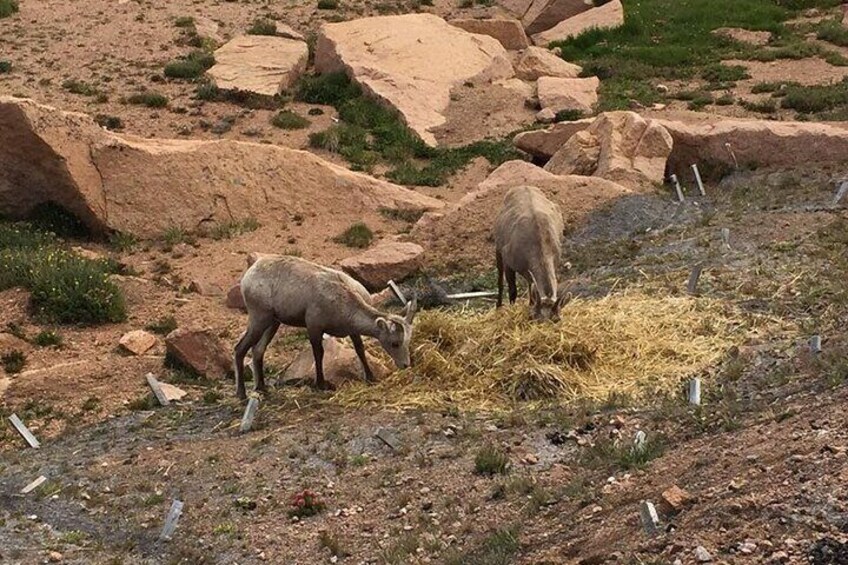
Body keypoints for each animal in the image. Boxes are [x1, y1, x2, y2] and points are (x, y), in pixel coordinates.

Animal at [232, 253, 418, 398]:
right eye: (395, 343)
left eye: (408, 341)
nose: (405, 365)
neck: (342, 299)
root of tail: (250, 273)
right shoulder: (314, 327)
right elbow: (319, 353)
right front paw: (322, 385)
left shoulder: (352, 331)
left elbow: (360, 348)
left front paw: (371, 377)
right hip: (259, 318)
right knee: (240, 348)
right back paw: (241, 394)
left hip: (272, 322)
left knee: (258, 350)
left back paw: (262, 388)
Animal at [494, 185, 568, 322]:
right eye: (536, 318)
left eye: (556, 320)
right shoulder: (508, 258)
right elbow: (512, 289)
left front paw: (530, 304)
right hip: (498, 245)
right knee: (500, 276)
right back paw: (498, 305)